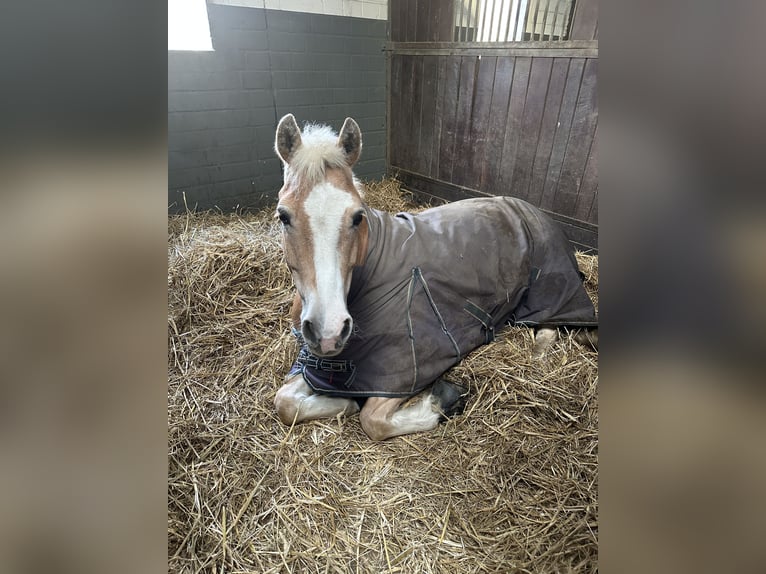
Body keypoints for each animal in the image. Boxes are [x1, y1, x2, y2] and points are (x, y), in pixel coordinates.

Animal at [272, 115, 600, 444]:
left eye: (357, 216)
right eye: (283, 216)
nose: (329, 332)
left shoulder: (404, 370)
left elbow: (373, 421)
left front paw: (443, 400)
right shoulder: (315, 363)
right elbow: (285, 401)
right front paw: (345, 401)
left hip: (551, 291)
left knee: (552, 325)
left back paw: (538, 352)